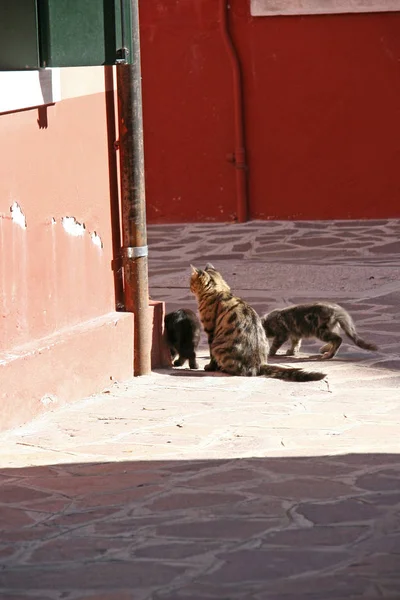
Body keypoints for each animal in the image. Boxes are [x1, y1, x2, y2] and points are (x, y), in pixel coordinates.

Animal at [190, 264, 324, 384]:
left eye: (191, 281)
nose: (189, 287)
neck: (220, 290)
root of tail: (259, 364)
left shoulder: (210, 331)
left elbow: (211, 357)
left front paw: (210, 367)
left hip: (217, 346)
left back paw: (223, 368)